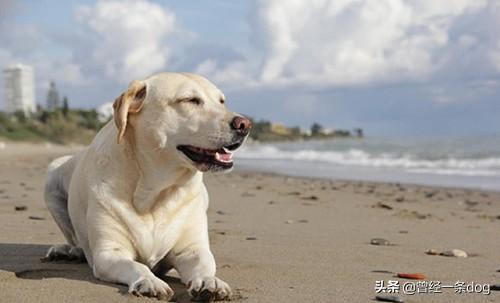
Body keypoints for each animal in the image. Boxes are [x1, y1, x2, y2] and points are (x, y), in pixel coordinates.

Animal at [44, 73, 250, 302]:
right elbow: (136, 266)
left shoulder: (192, 249)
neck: (156, 192)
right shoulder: (109, 253)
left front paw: (210, 281)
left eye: (222, 101)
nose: (245, 124)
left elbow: (205, 263)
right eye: (190, 100)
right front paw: (149, 281)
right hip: (52, 174)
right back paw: (69, 251)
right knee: (75, 239)